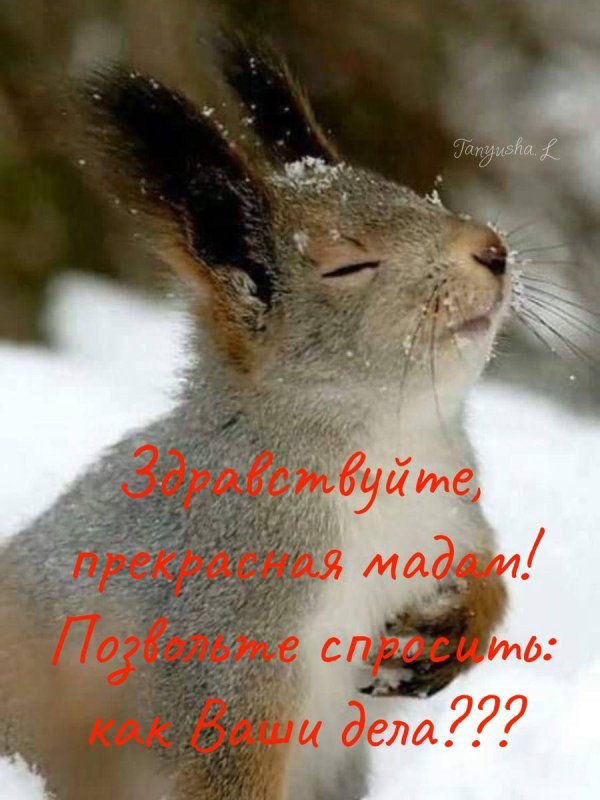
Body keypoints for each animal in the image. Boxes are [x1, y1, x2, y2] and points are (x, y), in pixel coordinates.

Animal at [0, 35, 509, 800]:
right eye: (348, 266)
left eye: (414, 194)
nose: (493, 250)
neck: (389, 442)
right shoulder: (231, 631)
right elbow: (223, 759)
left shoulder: (454, 512)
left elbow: (490, 581)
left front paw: (445, 635)